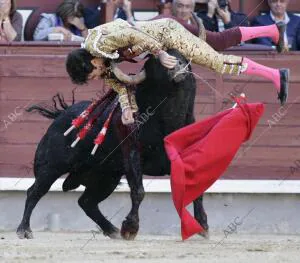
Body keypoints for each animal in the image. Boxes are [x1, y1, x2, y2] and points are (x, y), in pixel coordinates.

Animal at [15, 50, 209, 241]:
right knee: (34, 192)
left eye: (182, 56)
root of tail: (60, 115)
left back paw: (111, 229)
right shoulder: (132, 156)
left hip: (107, 177)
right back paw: (24, 230)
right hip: (51, 167)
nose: (177, 66)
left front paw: (202, 226)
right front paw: (130, 228)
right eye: (157, 63)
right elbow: (138, 191)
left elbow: (197, 191)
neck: (169, 120)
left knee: (86, 202)